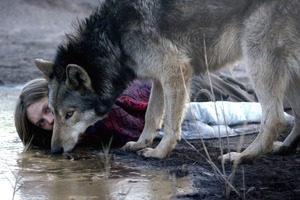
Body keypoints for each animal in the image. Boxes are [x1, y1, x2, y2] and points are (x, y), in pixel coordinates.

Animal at [35, 0, 300, 163]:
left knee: (276, 119)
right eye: (53, 113)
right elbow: (152, 116)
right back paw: (284, 148)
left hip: (257, 61)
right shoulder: (160, 79)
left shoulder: (175, 70)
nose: (54, 150)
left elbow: (171, 123)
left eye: (69, 114)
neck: (115, 37)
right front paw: (140, 144)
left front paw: (160, 153)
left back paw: (242, 157)